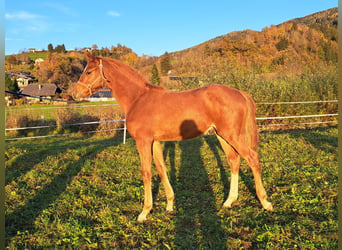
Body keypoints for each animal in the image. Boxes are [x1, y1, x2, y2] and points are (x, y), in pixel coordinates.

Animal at [71, 52, 274, 223]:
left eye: (88, 71)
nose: (74, 94)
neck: (138, 98)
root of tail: (240, 93)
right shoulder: (155, 142)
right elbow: (161, 169)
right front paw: (169, 205)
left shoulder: (143, 141)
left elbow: (146, 172)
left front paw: (144, 212)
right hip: (222, 135)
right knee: (234, 161)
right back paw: (229, 201)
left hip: (232, 135)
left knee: (252, 158)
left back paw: (265, 202)